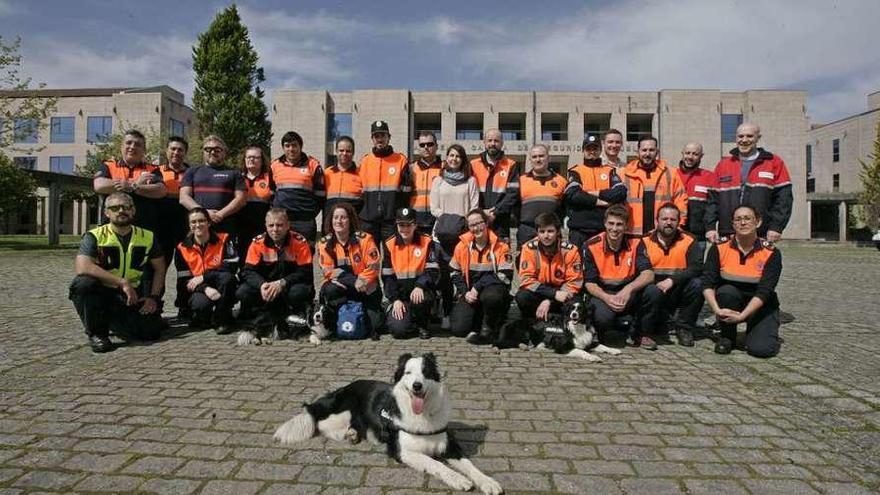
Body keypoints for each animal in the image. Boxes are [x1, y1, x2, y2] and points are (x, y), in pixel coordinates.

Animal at [272, 354, 506, 494]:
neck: (421, 415)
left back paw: (353, 434)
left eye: (426, 372)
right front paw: (457, 479)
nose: (417, 386)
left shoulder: (449, 446)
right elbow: (435, 463)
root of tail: (344, 387)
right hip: (341, 412)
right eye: (408, 373)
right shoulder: (403, 451)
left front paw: (487, 481)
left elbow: (470, 465)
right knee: (319, 422)